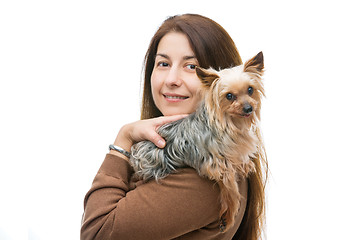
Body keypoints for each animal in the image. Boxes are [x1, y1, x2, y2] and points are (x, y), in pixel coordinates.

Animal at [129, 51, 264, 232]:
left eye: (250, 90)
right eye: (229, 96)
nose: (249, 108)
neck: (231, 123)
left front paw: (246, 165)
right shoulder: (217, 166)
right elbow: (232, 192)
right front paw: (228, 216)